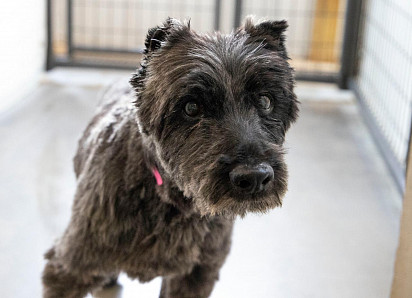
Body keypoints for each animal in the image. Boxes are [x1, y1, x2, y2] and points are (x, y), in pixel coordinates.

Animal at [42, 16, 300, 298]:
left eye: (265, 101)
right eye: (191, 107)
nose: (254, 177)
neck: (173, 201)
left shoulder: (196, 275)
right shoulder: (69, 267)